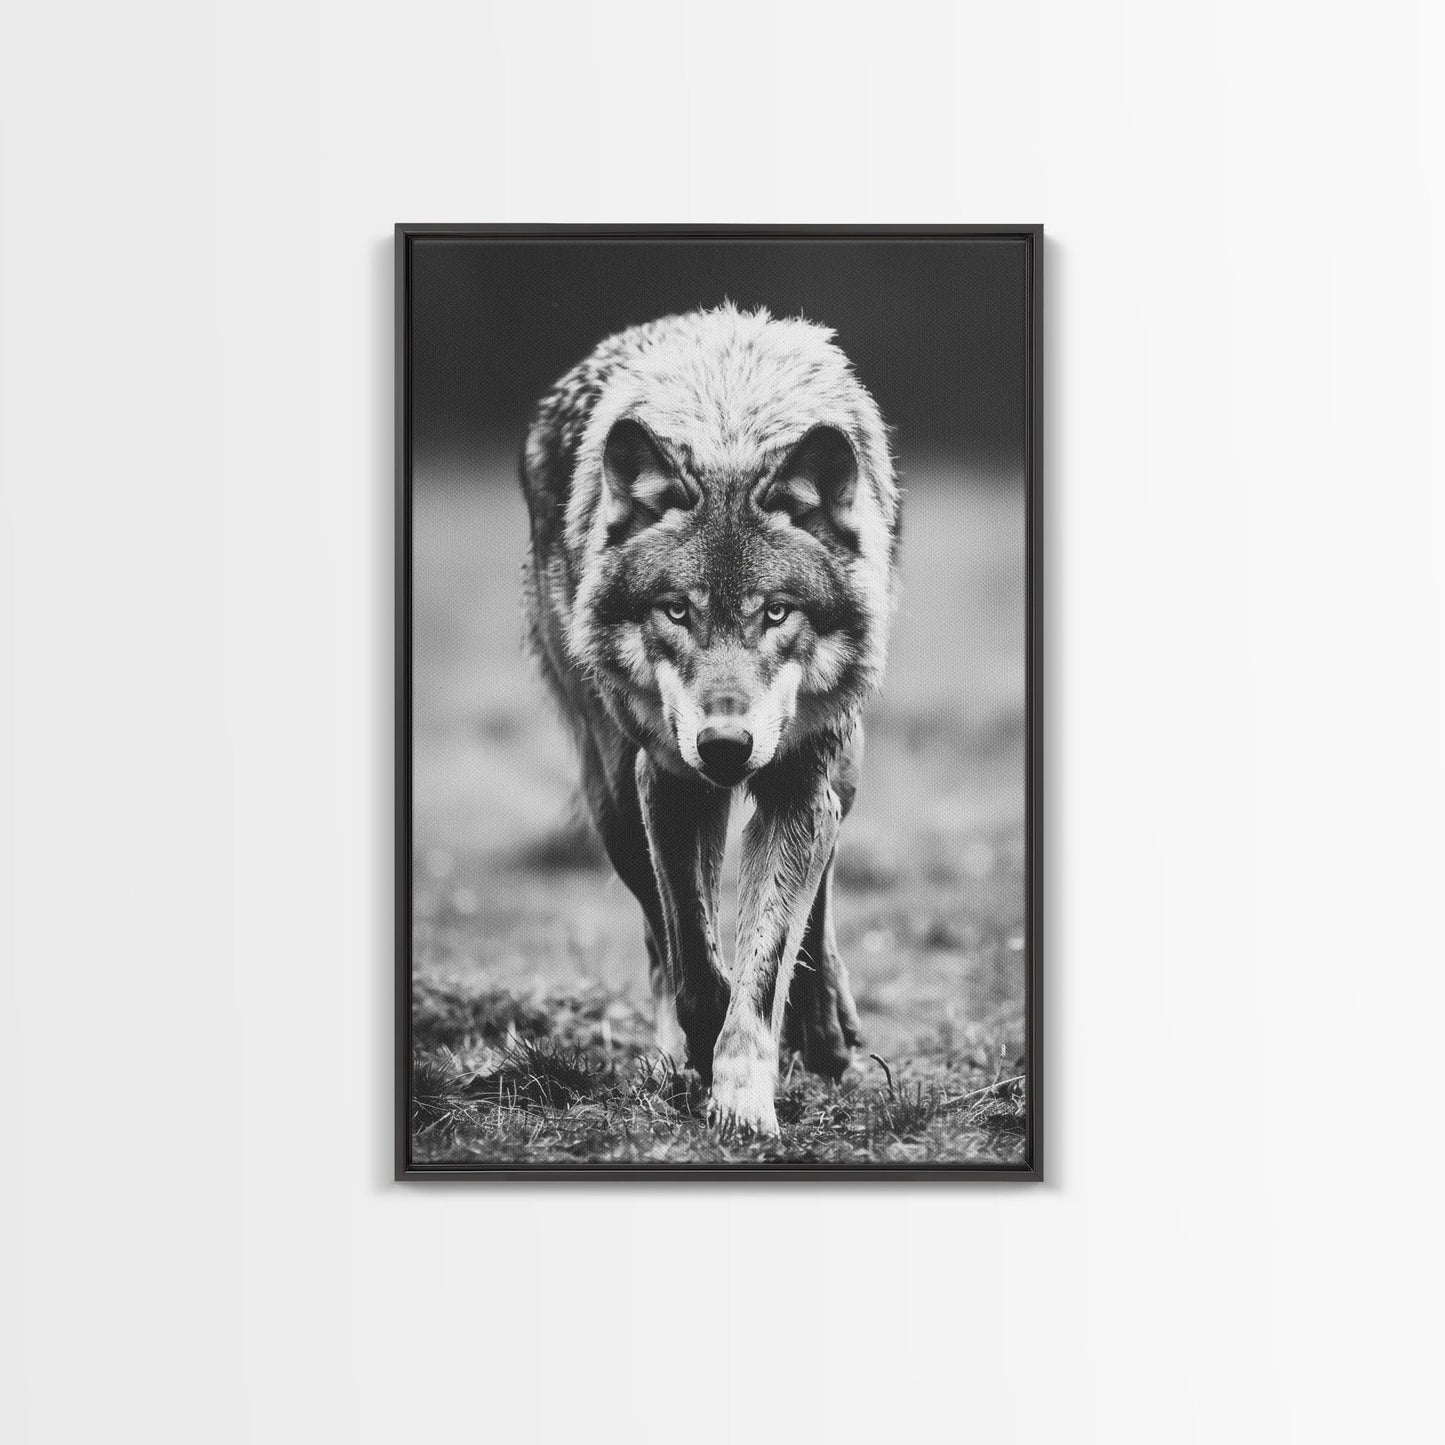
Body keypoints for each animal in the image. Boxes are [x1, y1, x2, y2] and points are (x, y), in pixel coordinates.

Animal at [519, 304, 901, 1136]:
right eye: (675, 610)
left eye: (776, 612)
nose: (725, 745)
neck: (729, 427)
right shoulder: (666, 780)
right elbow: (694, 956)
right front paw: (703, 1048)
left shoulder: (795, 783)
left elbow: (765, 955)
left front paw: (743, 1098)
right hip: (611, 792)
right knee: (658, 938)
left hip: (839, 762)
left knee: (820, 888)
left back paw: (825, 1025)